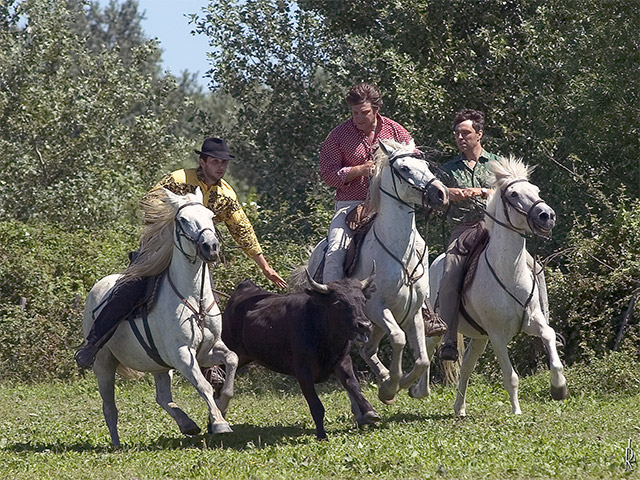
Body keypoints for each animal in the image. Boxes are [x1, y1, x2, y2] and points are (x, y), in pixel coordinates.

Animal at [82, 188, 238, 446]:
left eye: (211, 216)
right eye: (182, 220)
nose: (211, 246)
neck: (195, 298)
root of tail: (98, 287)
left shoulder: (207, 351)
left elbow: (232, 360)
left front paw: (221, 407)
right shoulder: (182, 354)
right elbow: (204, 386)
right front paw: (219, 422)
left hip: (159, 365)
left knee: (162, 397)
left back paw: (187, 424)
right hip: (104, 363)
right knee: (109, 406)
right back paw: (116, 444)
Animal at [221, 272, 380, 436]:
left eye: (363, 300)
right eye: (338, 303)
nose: (364, 325)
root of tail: (245, 287)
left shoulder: (343, 361)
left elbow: (354, 386)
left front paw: (370, 411)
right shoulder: (303, 371)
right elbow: (316, 406)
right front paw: (321, 435)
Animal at [306, 141, 450, 404]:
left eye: (424, 164)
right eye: (404, 168)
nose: (441, 193)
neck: (398, 251)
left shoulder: (413, 312)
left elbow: (422, 360)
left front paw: (402, 386)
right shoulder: (377, 308)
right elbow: (399, 339)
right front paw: (391, 386)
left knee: (368, 349)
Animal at [424, 158, 564, 416]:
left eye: (536, 190)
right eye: (514, 194)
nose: (547, 215)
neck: (508, 272)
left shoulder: (533, 322)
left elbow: (549, 338)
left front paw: (559, 388)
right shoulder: (498, 335)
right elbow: (511, 376)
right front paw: (517, 411)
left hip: (479, 338)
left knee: (466, 365)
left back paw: (459, 408)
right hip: (440, 328)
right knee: (427, 353)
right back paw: (418, 390)